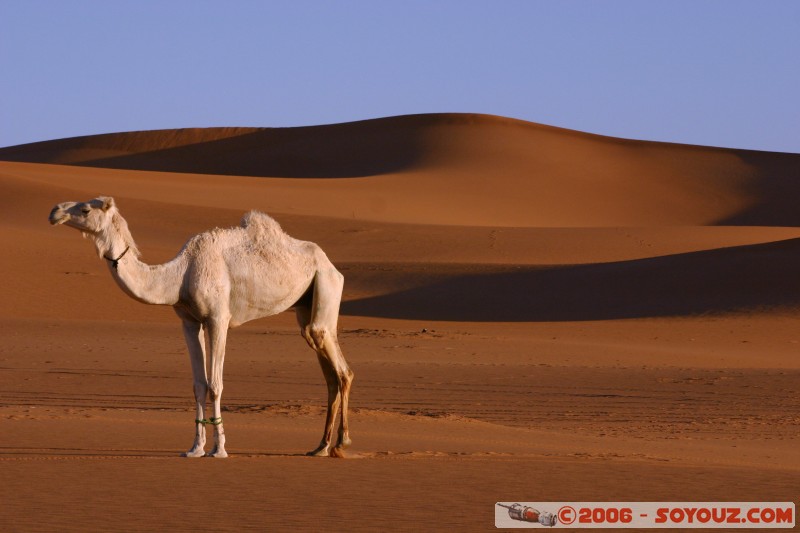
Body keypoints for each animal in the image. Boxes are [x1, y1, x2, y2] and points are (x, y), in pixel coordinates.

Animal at [47, 196, 354, 458]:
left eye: (86, 209)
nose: (55, 211)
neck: (179, 275)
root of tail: (329, 262)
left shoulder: (218, 319)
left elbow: (215, 384)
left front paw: (219, 449)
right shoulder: (189, 322)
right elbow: (198, 384)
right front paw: (195, 448)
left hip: (326, 283)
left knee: (337, 362)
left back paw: (342, 443)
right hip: (306, 302)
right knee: (326, 367)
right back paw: (321, 446)